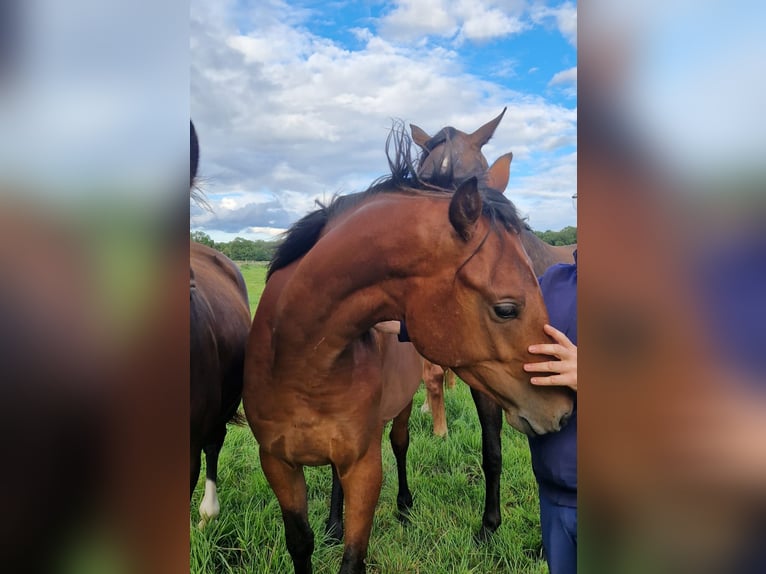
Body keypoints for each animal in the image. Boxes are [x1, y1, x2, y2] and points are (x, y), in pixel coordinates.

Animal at [242, 125, 574, 574]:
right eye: (506, 308)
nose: (563, 410)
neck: (301, 364)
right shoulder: (278, 465)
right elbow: (300, 543)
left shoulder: (364, 467)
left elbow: (354, 557)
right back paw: (333, 522)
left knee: (400, 444)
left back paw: (402, 505)